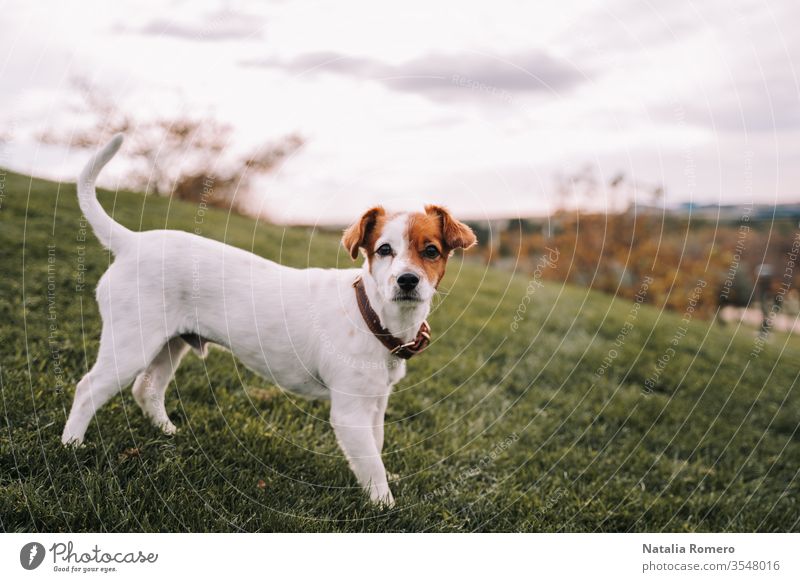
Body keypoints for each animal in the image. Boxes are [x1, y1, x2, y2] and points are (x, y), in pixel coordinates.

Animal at [64, 136, 476, 506]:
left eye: (431, 251)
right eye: (384, 250)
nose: (407, 280)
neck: (372, 313)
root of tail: (131, 242)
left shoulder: (375, 404)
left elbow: (376, 450)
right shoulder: (350, 411)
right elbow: (371, 465)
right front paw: (384, 504)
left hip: (172, 342)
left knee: (146, 389)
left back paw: (166, 431)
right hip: (131, 343)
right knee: (88, 388)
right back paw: (71, 444)